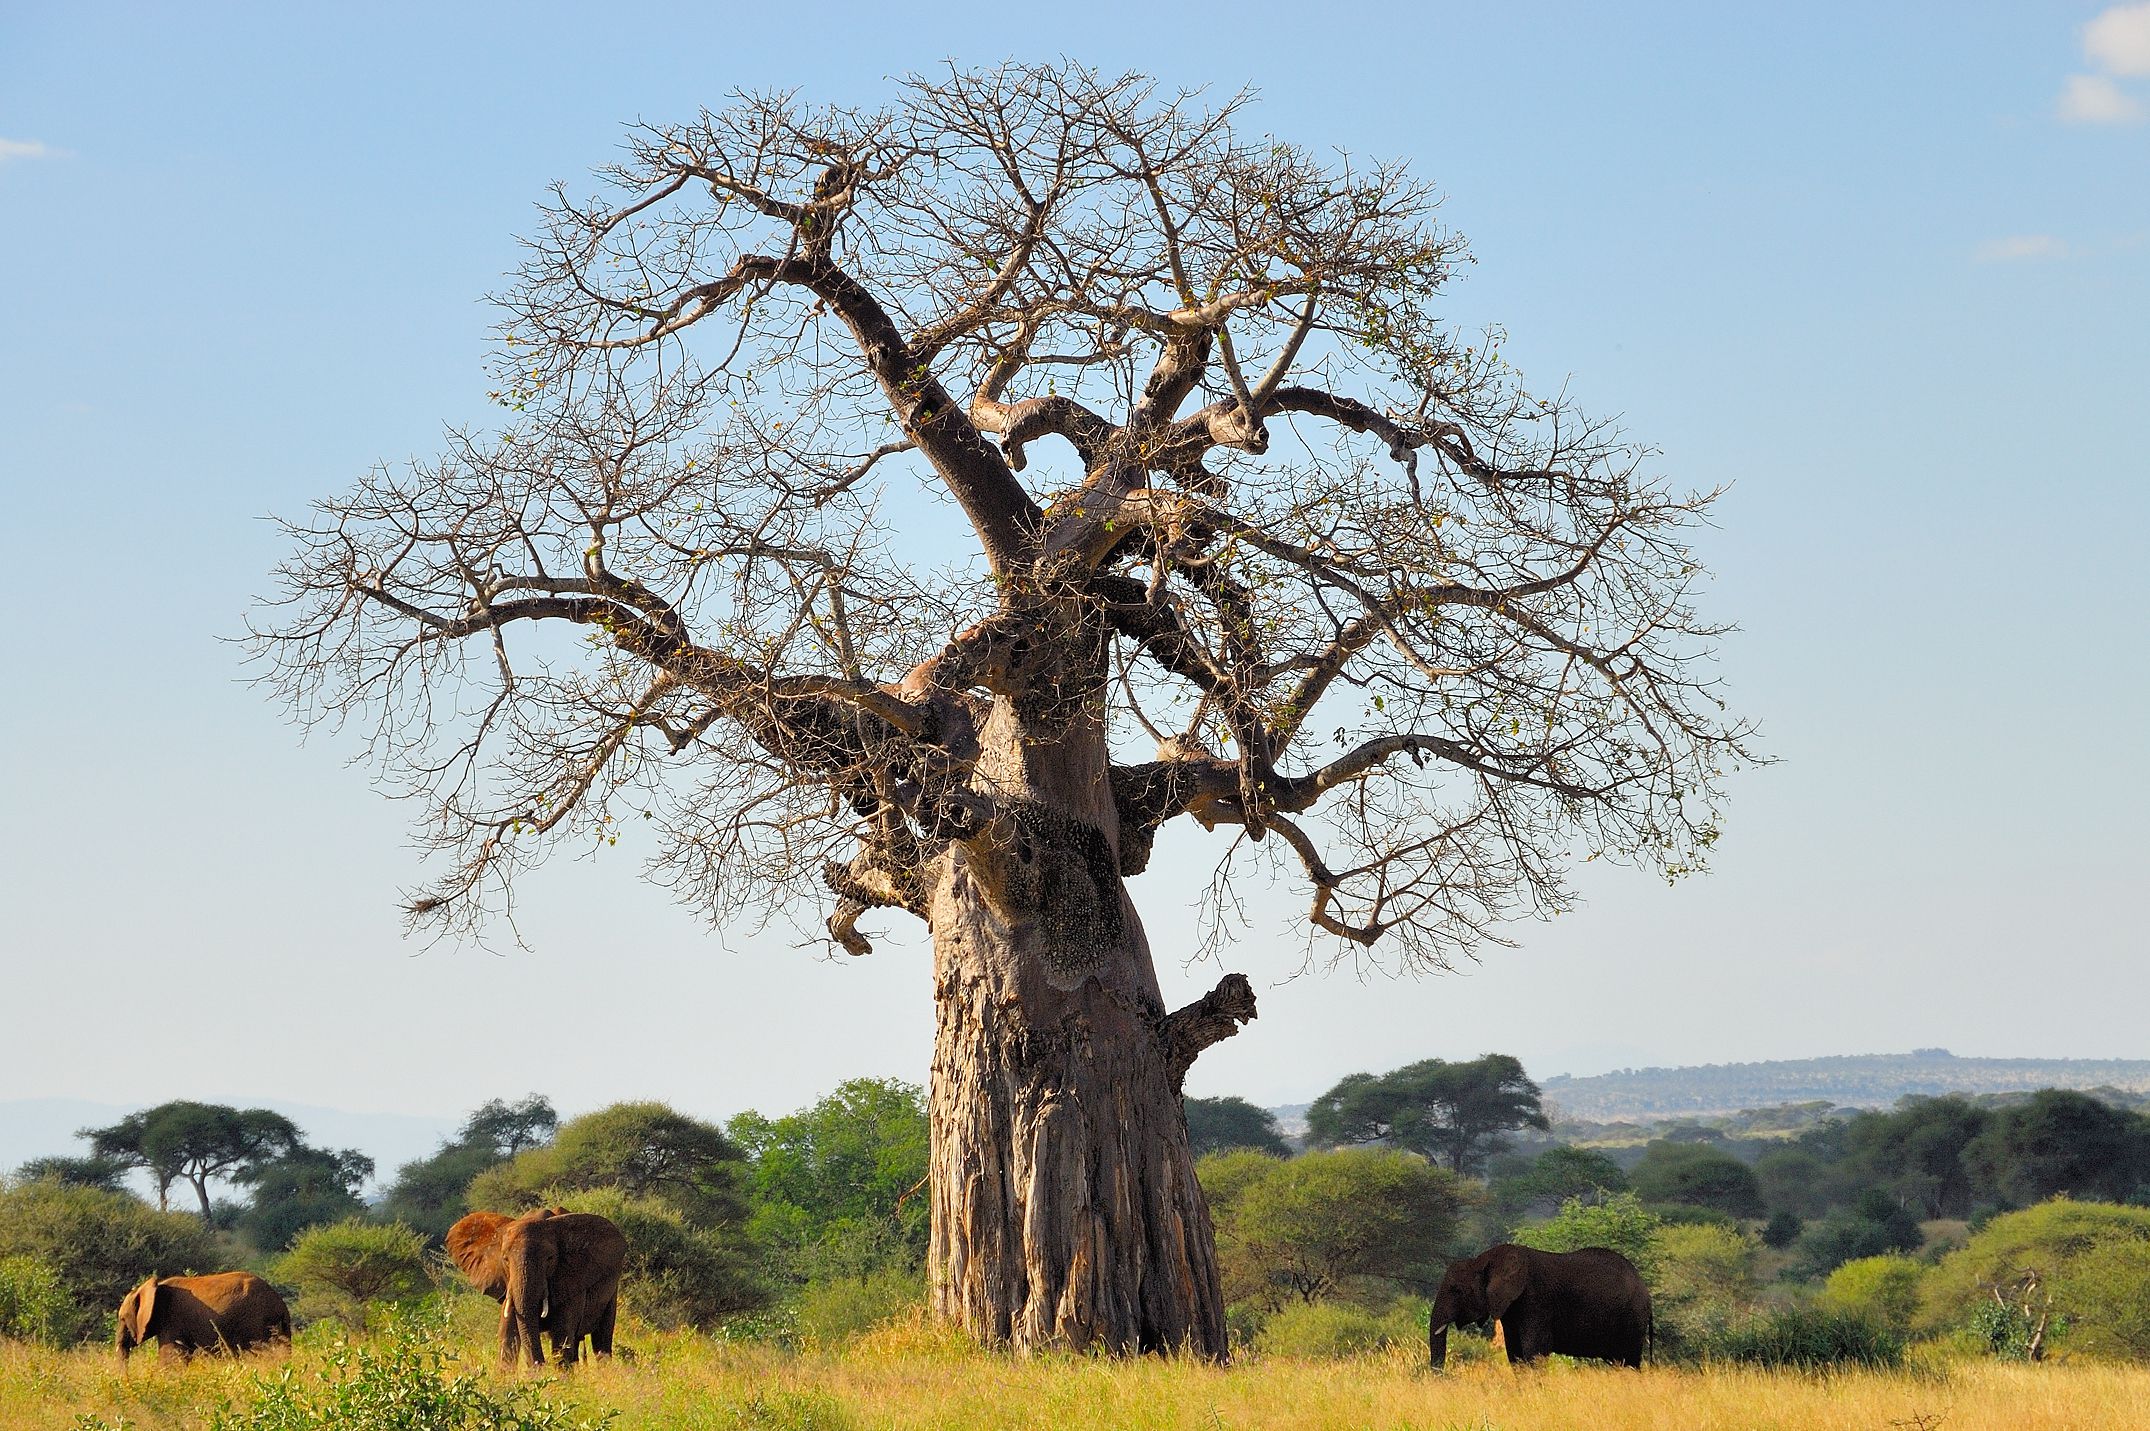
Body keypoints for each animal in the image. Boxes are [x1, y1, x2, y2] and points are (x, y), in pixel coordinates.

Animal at [445, 1211, 627, 1366]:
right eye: (505, 1259)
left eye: (550, 1259)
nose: (540, 1365)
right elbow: (507, 1335)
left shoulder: (571, 1280)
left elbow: (562, 1335)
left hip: (612, 1291)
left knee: (601, 1340)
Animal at [1436, 1237, 1651, 1357]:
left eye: (1456, 1290)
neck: (1484, 1259)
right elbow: (1514, 1352)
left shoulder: (1536, 1302)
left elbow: (1535, 1350)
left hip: (1632, 1320)